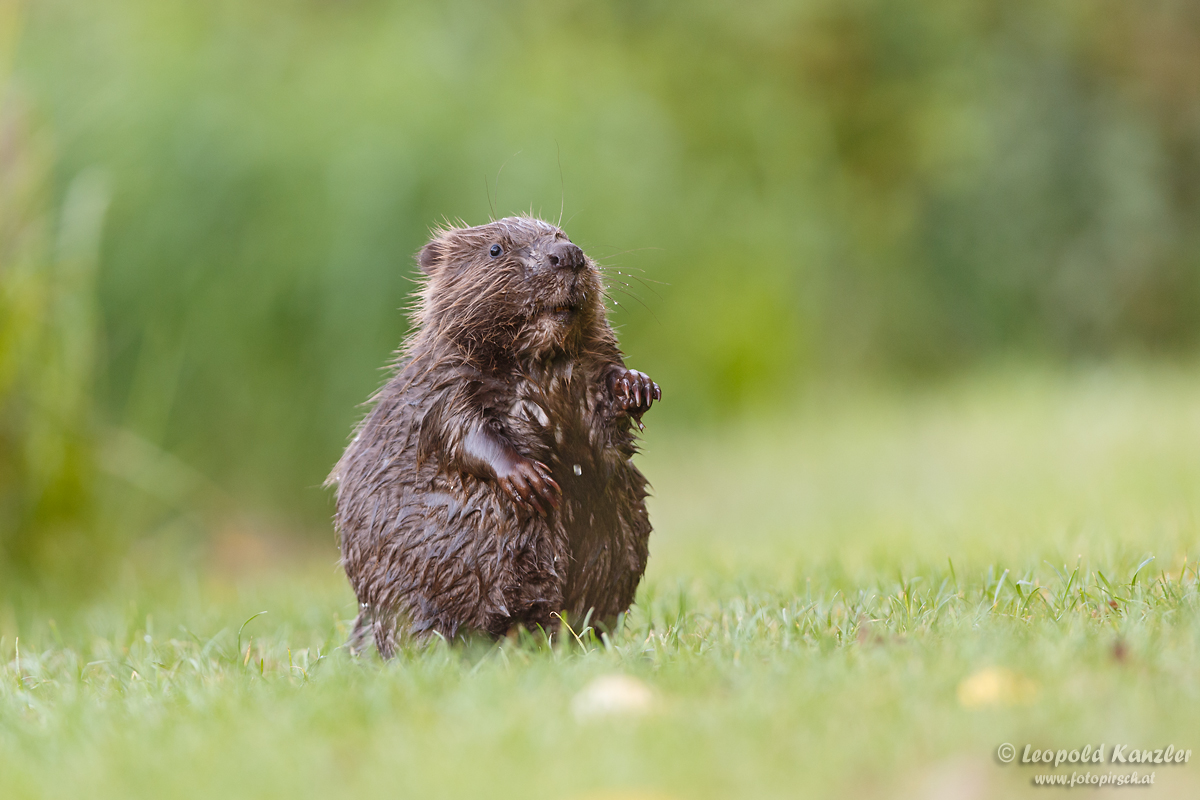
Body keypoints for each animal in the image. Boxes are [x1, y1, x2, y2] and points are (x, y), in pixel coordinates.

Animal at [328, 214, 662, 657]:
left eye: (562, 235)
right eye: (496, 249)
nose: (567, 255)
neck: (539, 363)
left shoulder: (588, 362)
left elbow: (604, 390)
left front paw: (637, 386)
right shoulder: (442, 377)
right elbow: (460, 428)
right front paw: (530, 480)